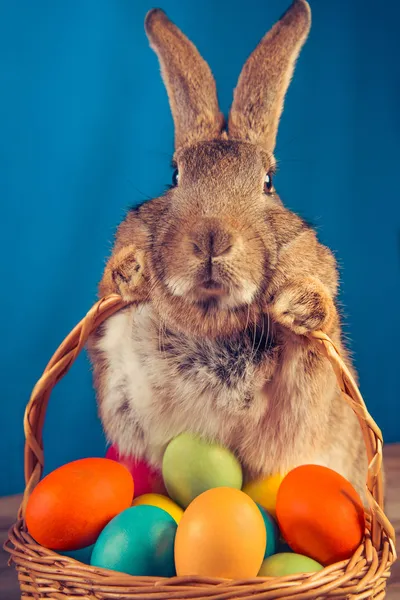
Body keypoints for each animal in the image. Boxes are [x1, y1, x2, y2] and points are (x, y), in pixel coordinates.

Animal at [89, 0, 368, 494]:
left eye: (269, 181)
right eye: (174, 174)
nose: (211, 238)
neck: (210, 315)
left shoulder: (302, 392)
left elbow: (309, 352)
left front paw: (298, 306)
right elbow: (112, 288)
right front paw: (131, 271)